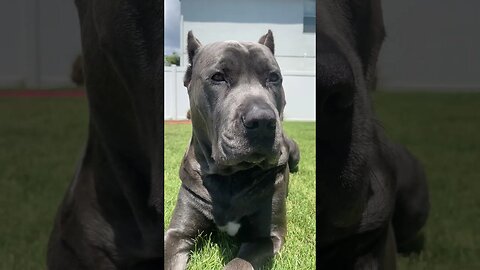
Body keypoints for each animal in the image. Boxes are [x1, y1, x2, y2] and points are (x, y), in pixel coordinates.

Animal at [165, 30, 300, 270]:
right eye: (218, 77)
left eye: (273, 77)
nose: (262, 120)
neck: (230, 178)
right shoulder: (177, 233)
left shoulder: (267, 238)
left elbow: (238, 263)